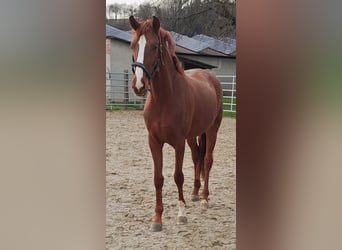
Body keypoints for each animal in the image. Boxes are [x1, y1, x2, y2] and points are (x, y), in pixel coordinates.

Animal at [130, 15, 223, 230]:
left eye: (155, 46)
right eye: (133, 45)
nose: (139, 85)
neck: (164, 99)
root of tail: (210, 77)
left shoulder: (178, 143)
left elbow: (178, 176)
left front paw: (181, 213)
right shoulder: (154, 142)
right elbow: (158, 179)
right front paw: (157, 219)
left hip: (212, 130)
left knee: (207, 160)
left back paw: (204, 199)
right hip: (194, 135)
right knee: (197, 157)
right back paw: (195, 194)